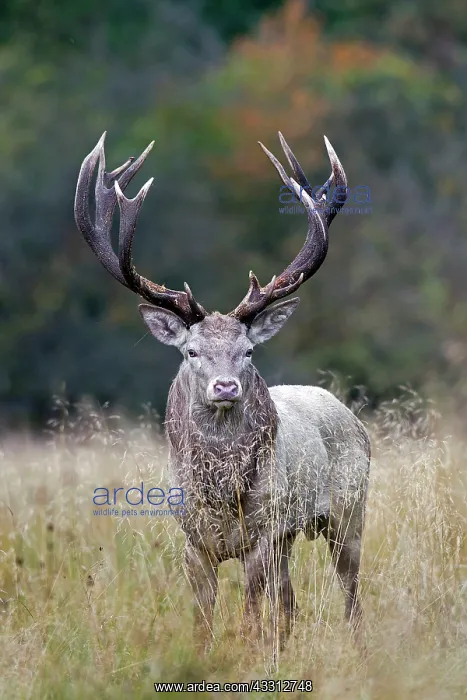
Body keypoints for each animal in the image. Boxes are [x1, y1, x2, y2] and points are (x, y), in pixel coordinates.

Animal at [74, 131, 371, 651]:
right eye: (191, 351)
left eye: (248, 350)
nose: (226, 385)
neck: (220, 495)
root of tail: (352, 418)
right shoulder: (192, 541)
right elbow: (203, 620)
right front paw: (206, 654)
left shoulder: (262, 533)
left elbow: (251, 614)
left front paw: (249, 654)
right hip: (292, 535)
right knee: (289, 601)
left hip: (349, 513)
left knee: (350, 594)